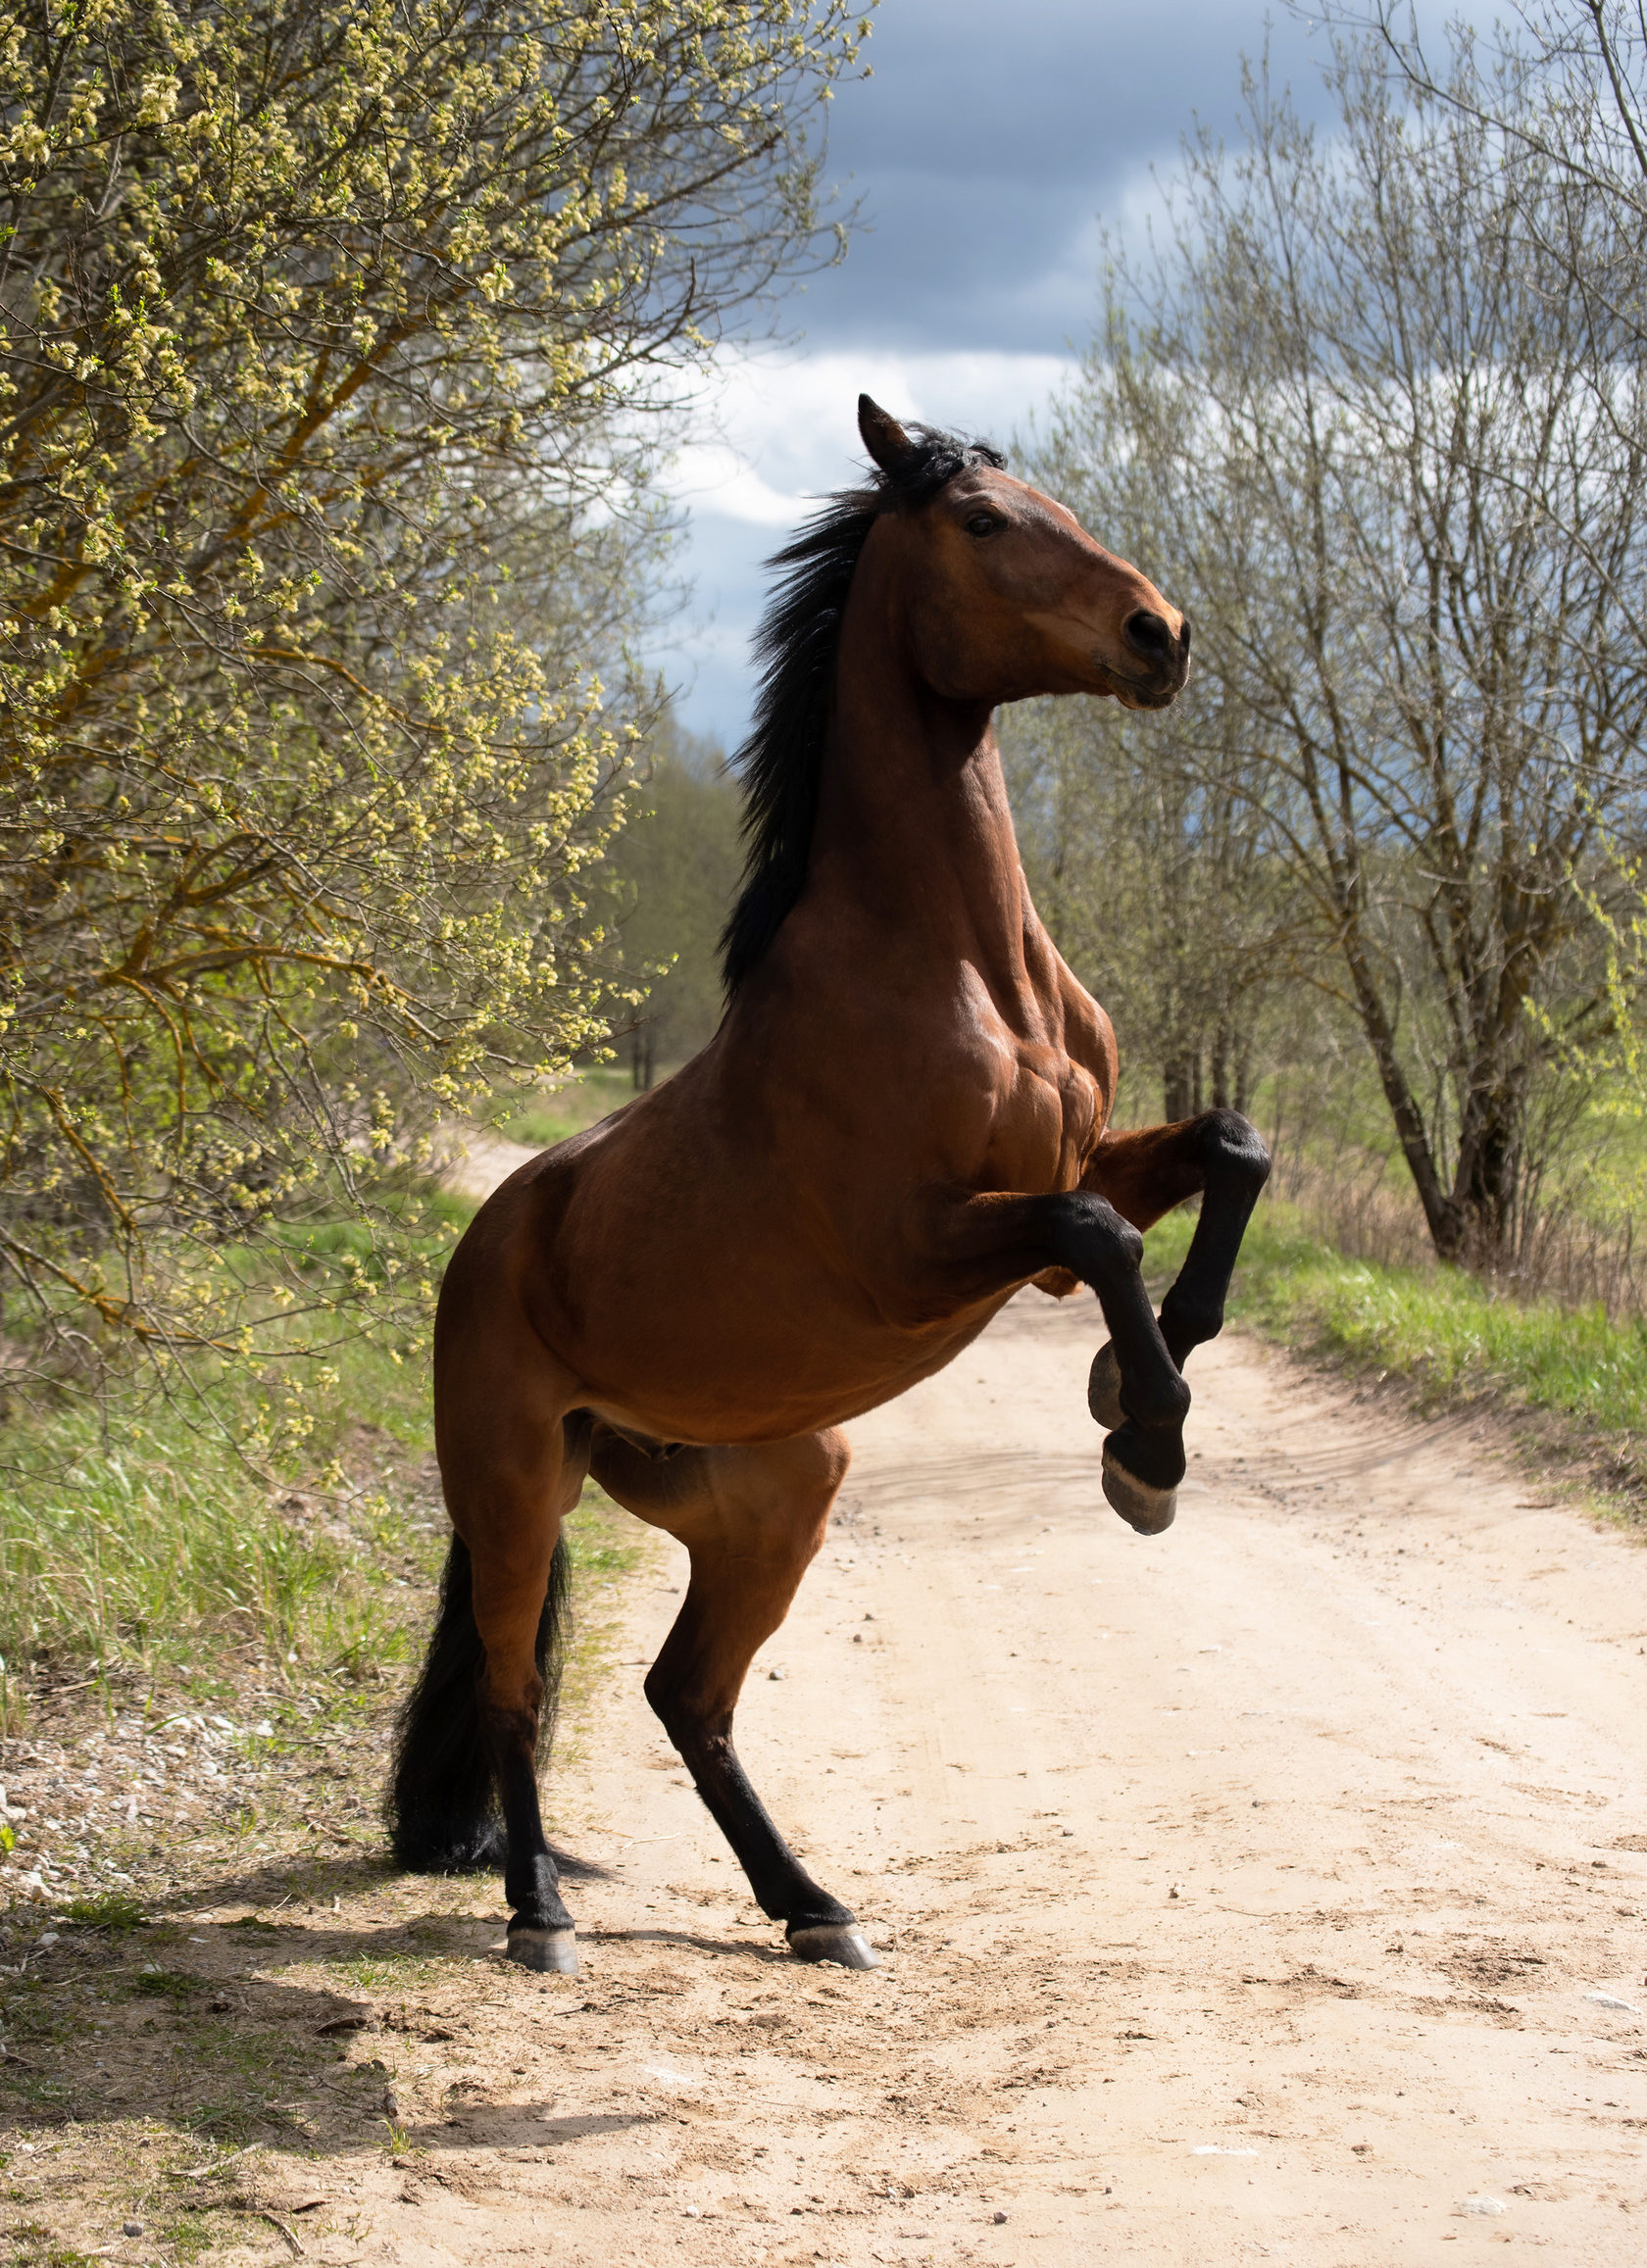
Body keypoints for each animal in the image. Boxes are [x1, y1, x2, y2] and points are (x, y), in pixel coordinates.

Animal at [390, 399, 1279, 1977]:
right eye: (981, 521)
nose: (1160, 634)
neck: (961, 968)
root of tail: (491, 1235)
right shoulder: (919, 1250)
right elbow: (1102, 1232)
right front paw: (1145, 1448)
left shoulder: (1066, 1184)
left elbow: (1228, 1148)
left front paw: (1138, 1384)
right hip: (515, 1487)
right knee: (512, 1685)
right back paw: (542, 1910)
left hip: (774, 1493)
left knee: (687, 1696)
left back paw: (814, 1905)